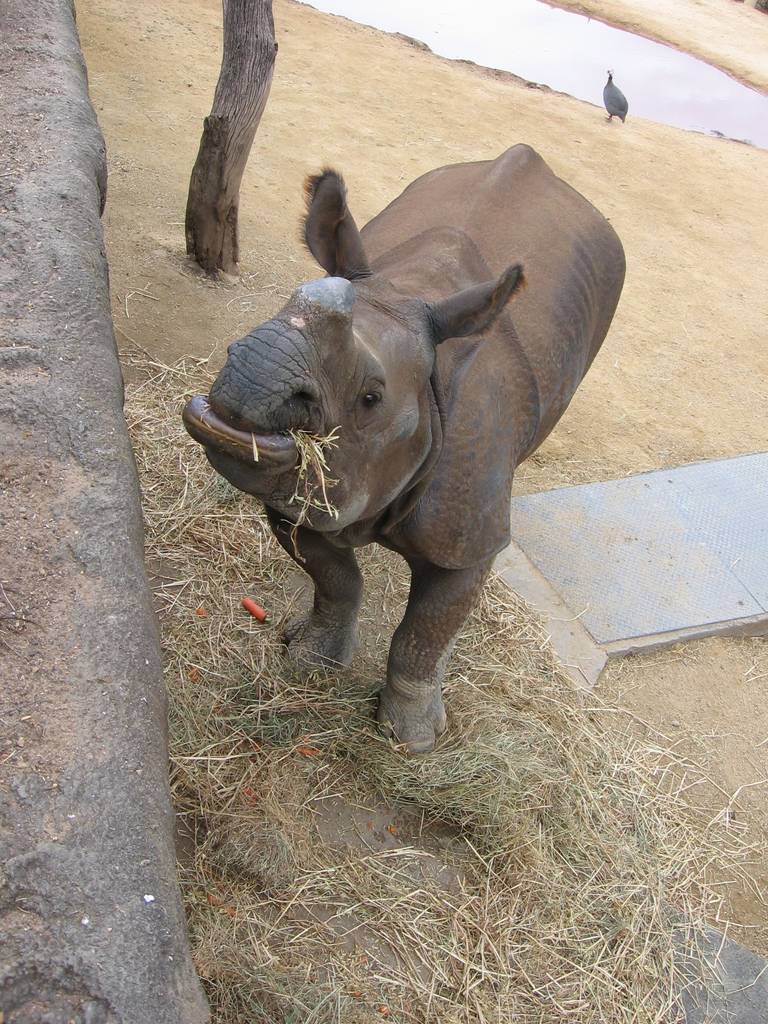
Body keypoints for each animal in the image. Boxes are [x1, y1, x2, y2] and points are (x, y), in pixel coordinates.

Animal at [183, 145, 625, 753]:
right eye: (243, 336)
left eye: (371, 398)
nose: (244, 394)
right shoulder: (297, 490)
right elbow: (336, 580)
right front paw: (310, 663)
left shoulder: (467, 537)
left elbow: (424, 633)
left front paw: (413, 738)